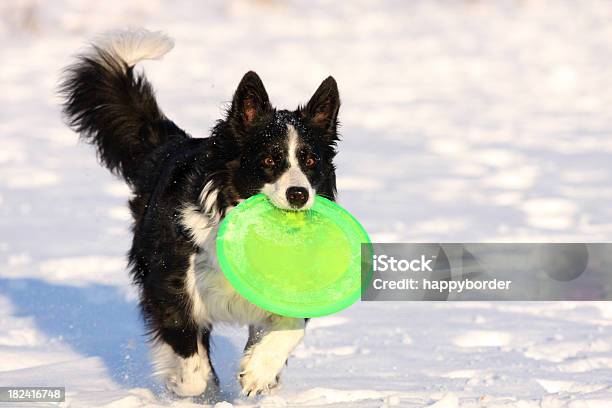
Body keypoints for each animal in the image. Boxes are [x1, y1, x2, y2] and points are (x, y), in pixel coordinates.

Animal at [59, 29, 342, 398]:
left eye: (310, 160)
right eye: (269, 159)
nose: (298, 194)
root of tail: (170, 145)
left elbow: (290, 326)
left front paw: (258, 373)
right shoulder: (171, 283)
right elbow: (190, 358)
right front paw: (190, 386)